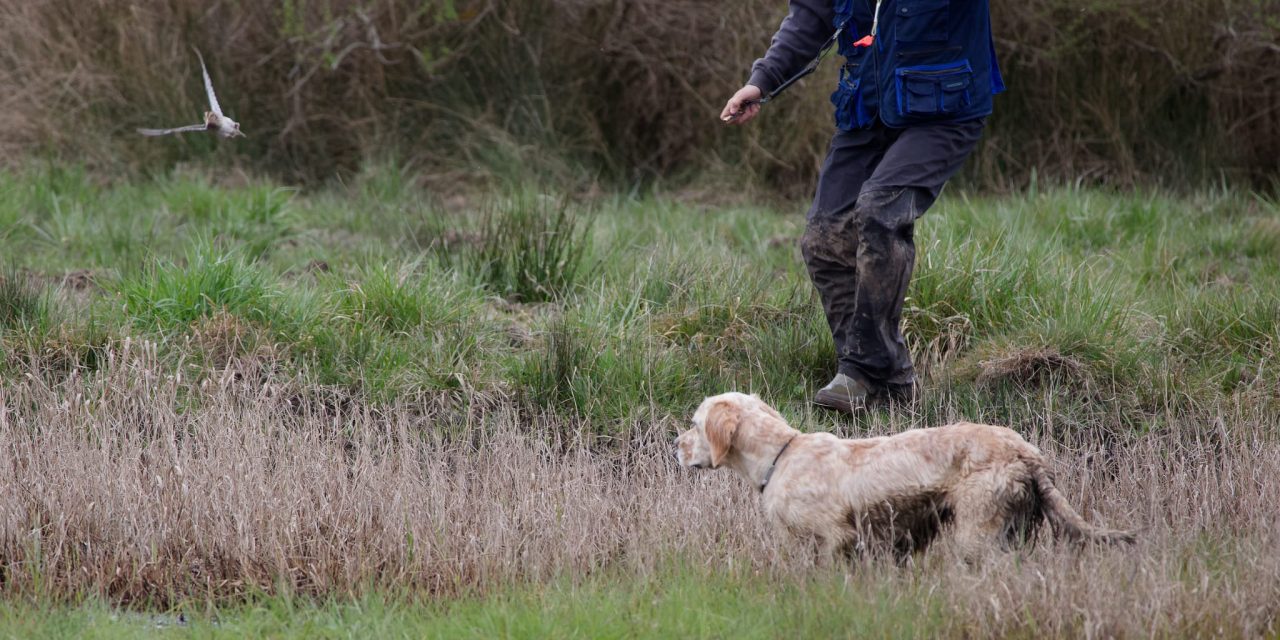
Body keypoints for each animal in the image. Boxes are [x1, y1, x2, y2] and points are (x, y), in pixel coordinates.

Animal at [675, 391, 1136, 563]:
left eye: (695, 425)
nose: (673, 446)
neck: (781, 454)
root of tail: (1026, 452)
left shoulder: (834, 538)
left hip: (978, 533)